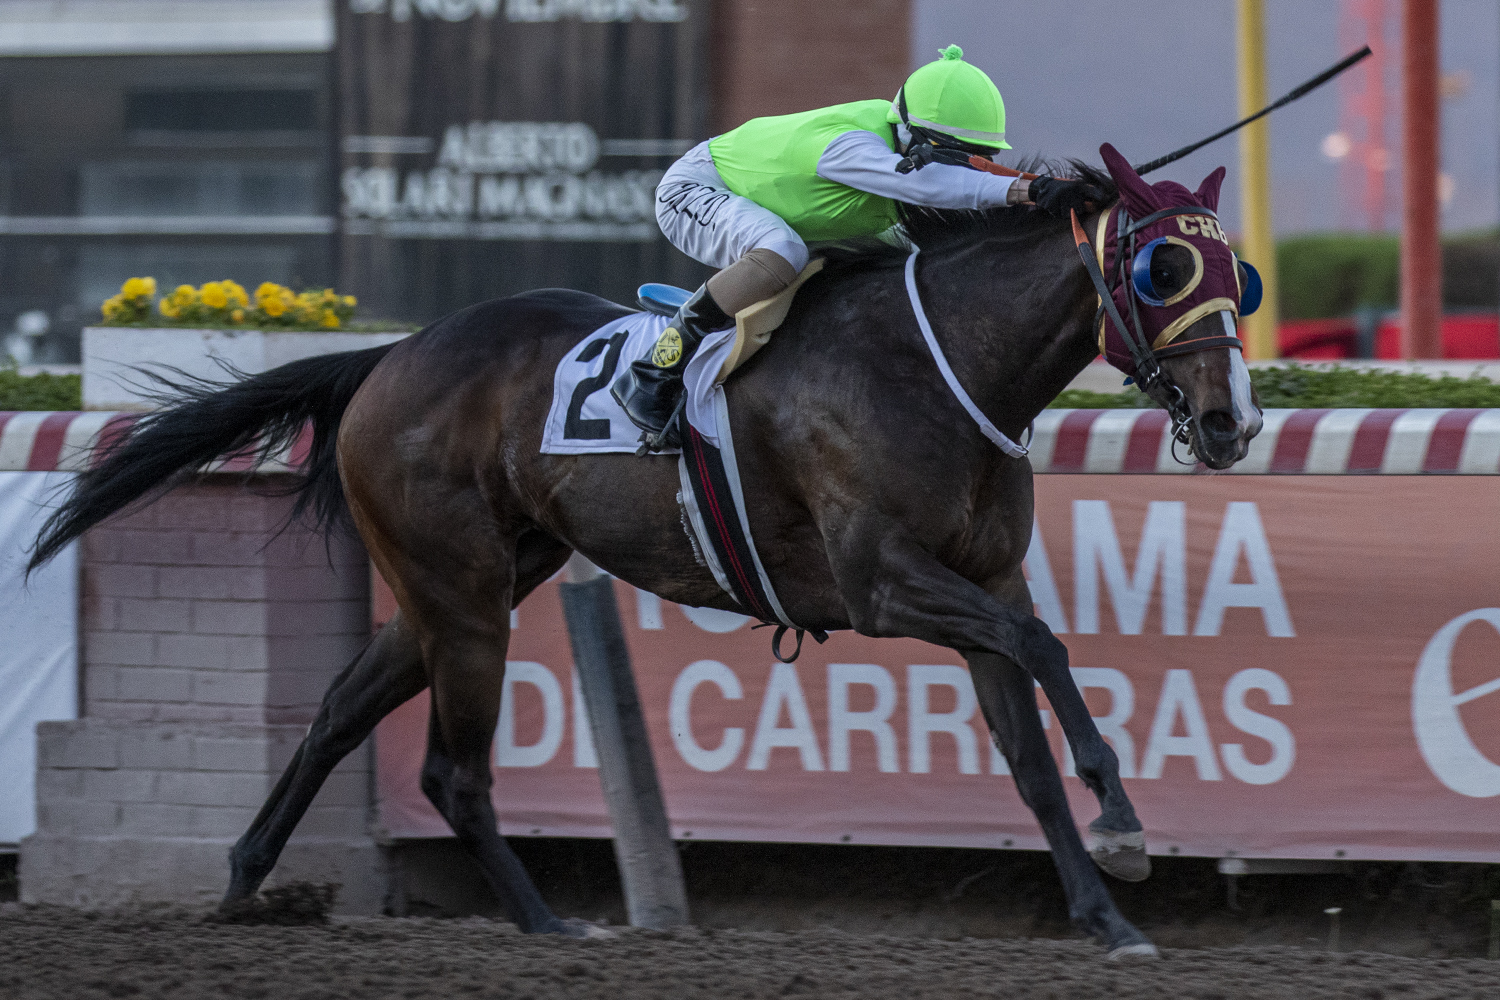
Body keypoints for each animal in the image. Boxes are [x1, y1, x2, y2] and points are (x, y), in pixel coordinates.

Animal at [31, 147, 1261, 958]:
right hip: (463, 597)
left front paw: (1105, 911)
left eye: (1235, 274)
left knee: (338, 713)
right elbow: (1044, 643)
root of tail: (389, 354)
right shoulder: (884, 583)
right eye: (1160, 271)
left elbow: (1025, 751)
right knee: (450, 771)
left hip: (465, 585)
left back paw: (247, 877)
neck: (935, 361)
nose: (1230, 422)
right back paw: (544, 921)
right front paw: (1123, 822)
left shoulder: (976, 578)